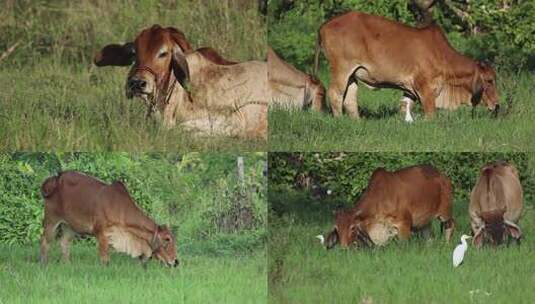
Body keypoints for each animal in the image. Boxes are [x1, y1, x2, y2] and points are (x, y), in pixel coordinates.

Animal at [40, 170, 178, 268]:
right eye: (167, 239)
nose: (176, 262)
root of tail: (55, 178)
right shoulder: (101, 234)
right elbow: (105, 260)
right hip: (51, 220)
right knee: (45, 241)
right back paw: (44, 264)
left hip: (69, 226)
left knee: (64, 243)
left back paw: (67, 265)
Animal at [312, 11, 500, 120]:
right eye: (490, 80)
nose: (497, 105)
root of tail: (324, 26)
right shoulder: (425, 88)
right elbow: (430, 114)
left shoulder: (409, 88)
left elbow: (405, 106)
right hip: (341, 69)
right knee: (335, 93)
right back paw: (339, 120)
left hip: (352, 74)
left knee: (350, 98)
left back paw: (356, 121)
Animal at [324, 166, 454, 249]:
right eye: (337, 229)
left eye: (352, 228)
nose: (344, 248)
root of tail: (443, 176)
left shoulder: (404, 225)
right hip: (425, 222)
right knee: (429, 236)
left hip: (445, 212)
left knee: (450, 225)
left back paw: (447, 245)